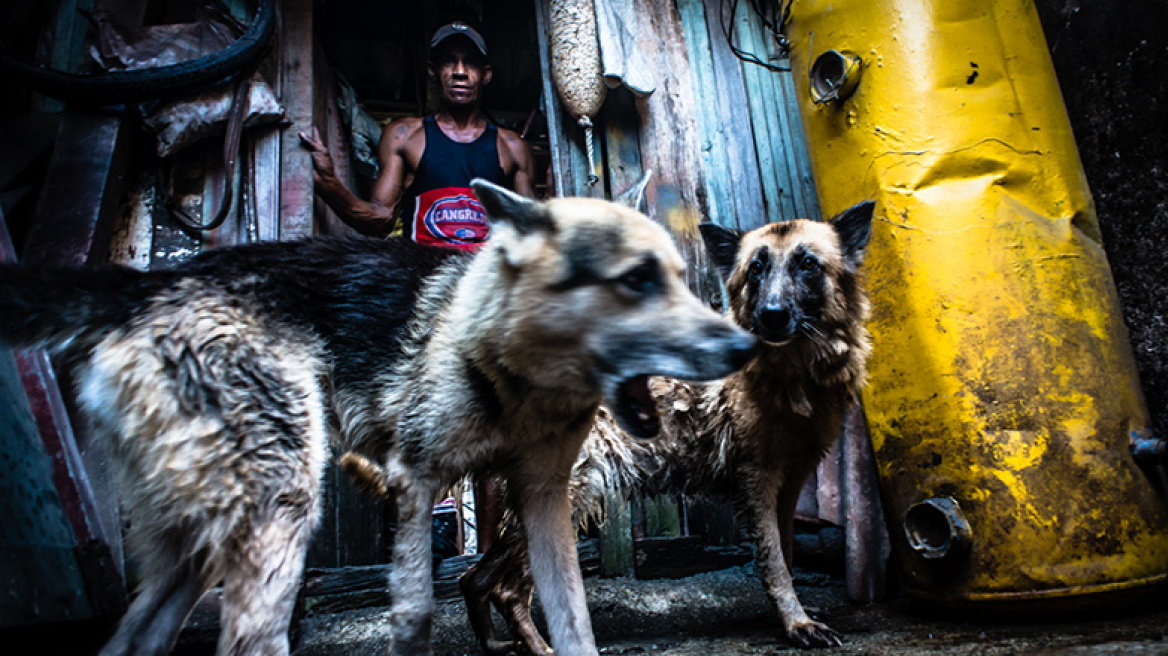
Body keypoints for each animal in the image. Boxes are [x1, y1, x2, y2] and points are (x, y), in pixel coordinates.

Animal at [0, 175, 752, 653]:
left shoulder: (544, 502)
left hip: (197, 550)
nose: (745, 347)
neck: (512, 373)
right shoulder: (415, 485)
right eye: (636, 281)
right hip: (281, 512)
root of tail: (152, 284)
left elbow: (574, 624)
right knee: (250, 639)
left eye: (679, 277)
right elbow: (416, 612)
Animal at [448, 199, 878, 648]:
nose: (771, 316)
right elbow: (775, 560)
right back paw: (540, 648)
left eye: (808, 264)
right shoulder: (759, 481)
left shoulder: (789, 484)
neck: (793, 370)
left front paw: (792, 616)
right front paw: (796, 624)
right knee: (507, 588)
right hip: (569, 498)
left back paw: (495, 643)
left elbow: (787, 553)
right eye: (756, 269)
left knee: (474, 577)